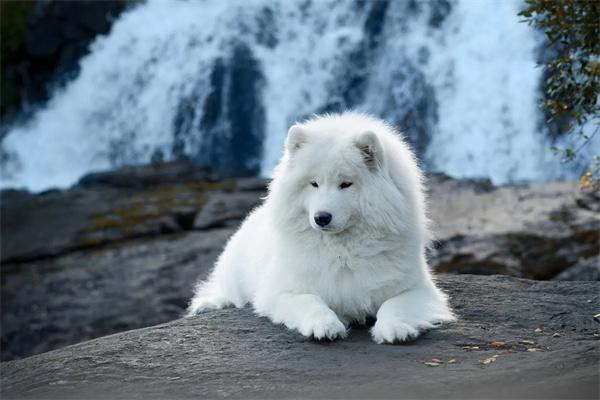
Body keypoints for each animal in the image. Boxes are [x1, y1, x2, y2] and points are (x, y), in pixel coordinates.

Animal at [188, 111, 454, 342]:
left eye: (346, 184)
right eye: (314, 183)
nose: (321, 218)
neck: (342, 250)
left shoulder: (417, 288)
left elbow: (394, 304)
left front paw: (395, 327)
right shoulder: (281, 291)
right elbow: (310, 301)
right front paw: (325, 325)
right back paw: (210, 304)